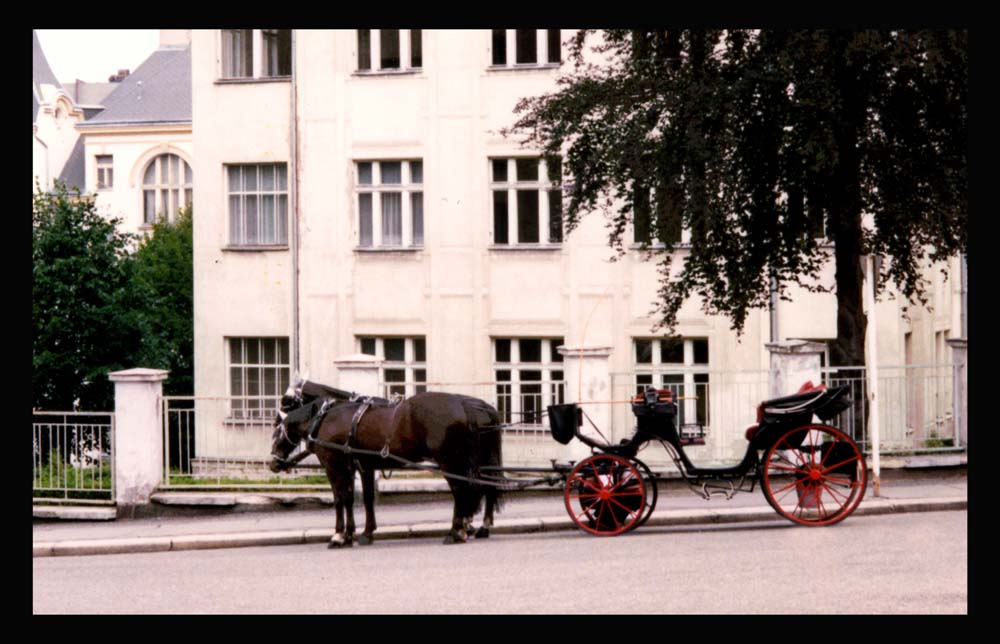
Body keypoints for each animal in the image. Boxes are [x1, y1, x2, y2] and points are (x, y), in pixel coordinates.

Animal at [270, 382, 504, 548]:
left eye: (277, 428)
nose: (273, 462)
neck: (326, 418)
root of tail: (464, 406)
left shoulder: (333, 466)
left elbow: (339, 499)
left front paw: (338, 536)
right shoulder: (361, 466)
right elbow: (359, 498)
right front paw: (358, 534)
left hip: (449, 460)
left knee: (462, 490)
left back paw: (457, 531)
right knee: (478, 489)